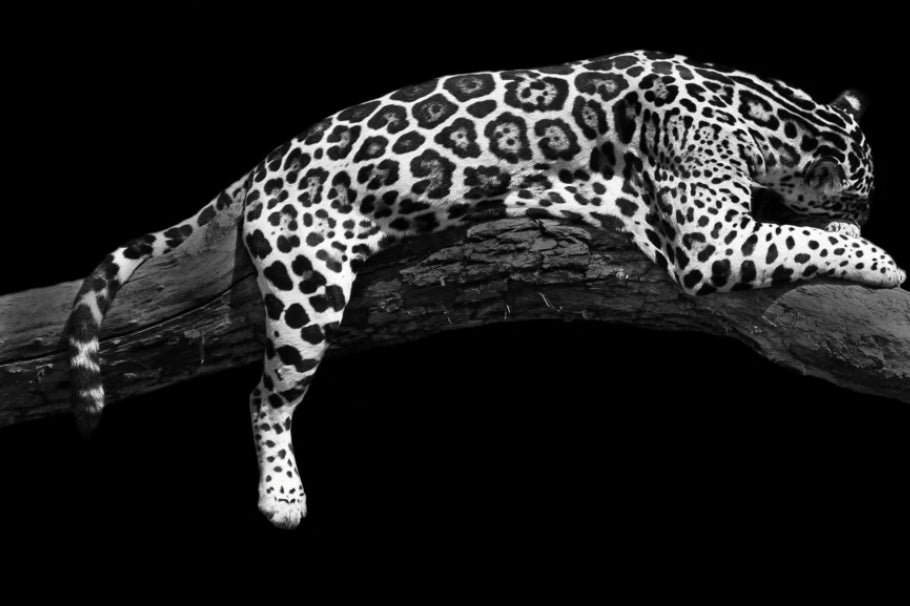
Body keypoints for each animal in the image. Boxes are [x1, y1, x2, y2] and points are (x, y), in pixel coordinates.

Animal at [64, 50, 906, 529]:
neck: (761, 104)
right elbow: (799, 237)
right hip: (308, 288)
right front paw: (877, 255)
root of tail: (268, 159)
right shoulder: (712, 241)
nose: (868, 213)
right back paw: (282, 495)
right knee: (265, 397)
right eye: (865, 193)